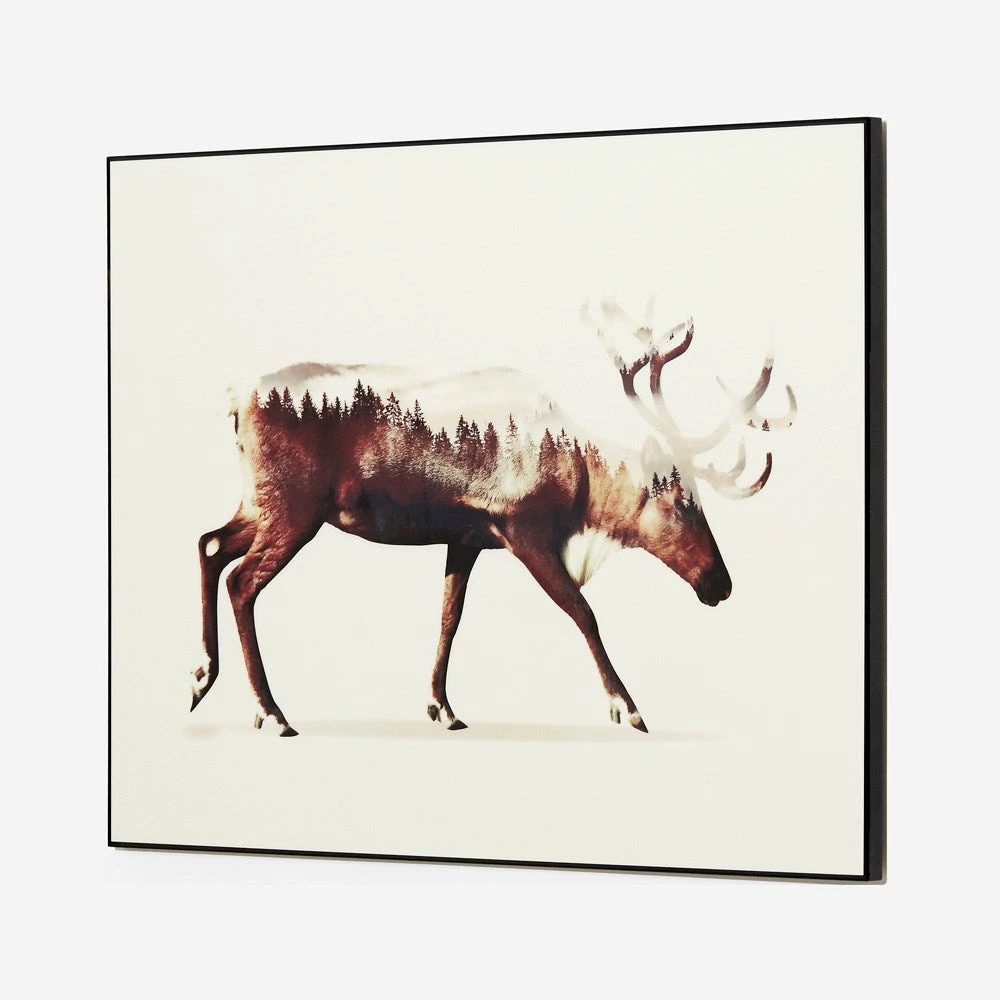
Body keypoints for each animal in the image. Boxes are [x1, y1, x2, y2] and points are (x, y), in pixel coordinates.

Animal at [190, 299, 795, 736]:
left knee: (209, 544)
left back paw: (201, 676)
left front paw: (441, 706)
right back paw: (271, 713)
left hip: (261, 502)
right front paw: (628, 708)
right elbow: (583, 611)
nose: (720, 583)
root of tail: (235, 400)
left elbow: (449, 617)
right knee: (242, 580)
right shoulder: (522, 527)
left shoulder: (467, 537)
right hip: (294, 508)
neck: (578, 475)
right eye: (680, 502)